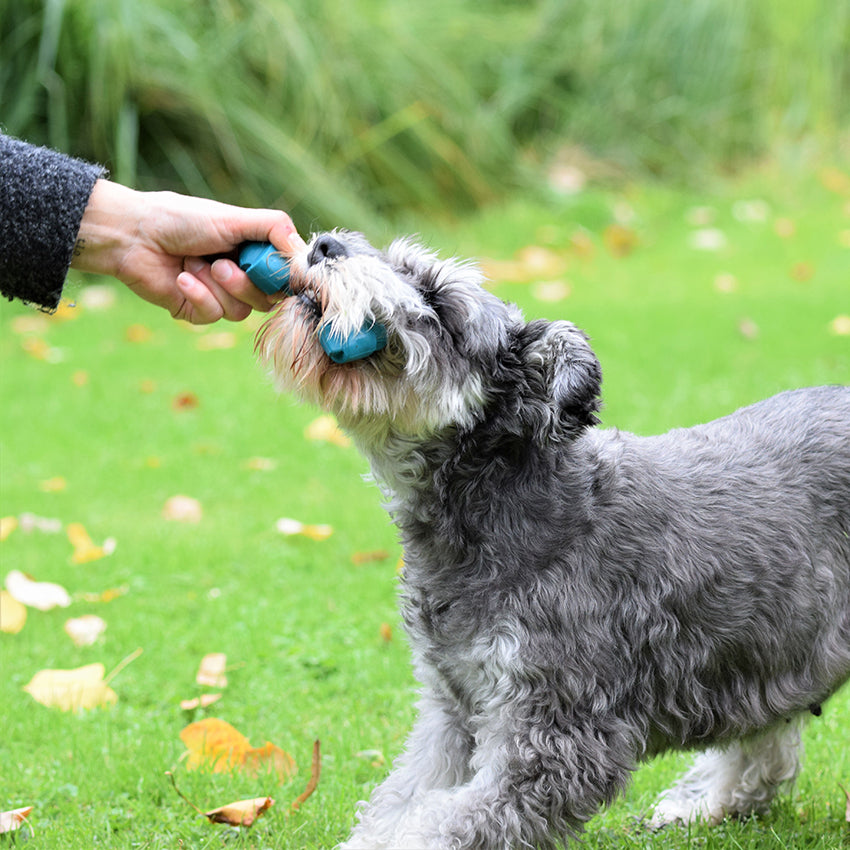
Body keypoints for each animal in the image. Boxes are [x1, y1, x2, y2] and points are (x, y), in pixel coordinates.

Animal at [256, 230, 848, 848]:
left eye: (438, 299)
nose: (325, 244)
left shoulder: (555, 734)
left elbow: (440, 824)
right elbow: (399, 805)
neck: (505, 505)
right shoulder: (455, 711)